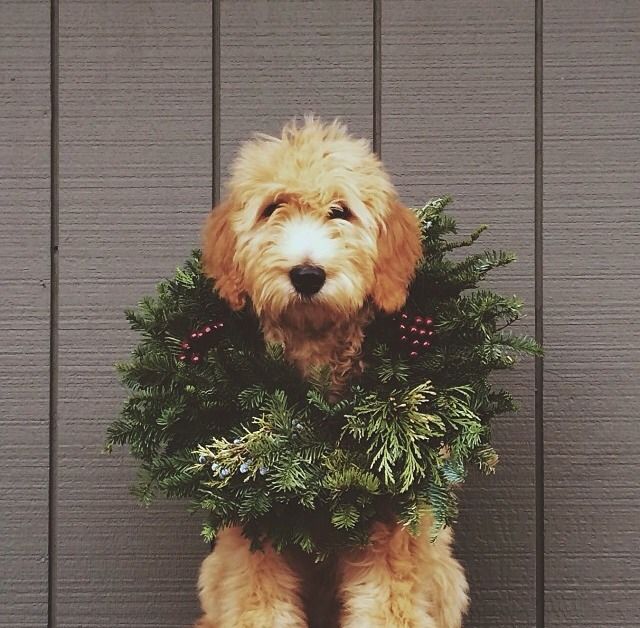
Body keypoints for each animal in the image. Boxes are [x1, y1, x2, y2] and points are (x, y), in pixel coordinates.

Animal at [198, 118, 468, 628]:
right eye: (272, 208)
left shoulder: (392, 531)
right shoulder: (254, 531)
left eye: (340, 211)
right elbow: (259, 606)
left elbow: (388, 608)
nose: (307, 274)